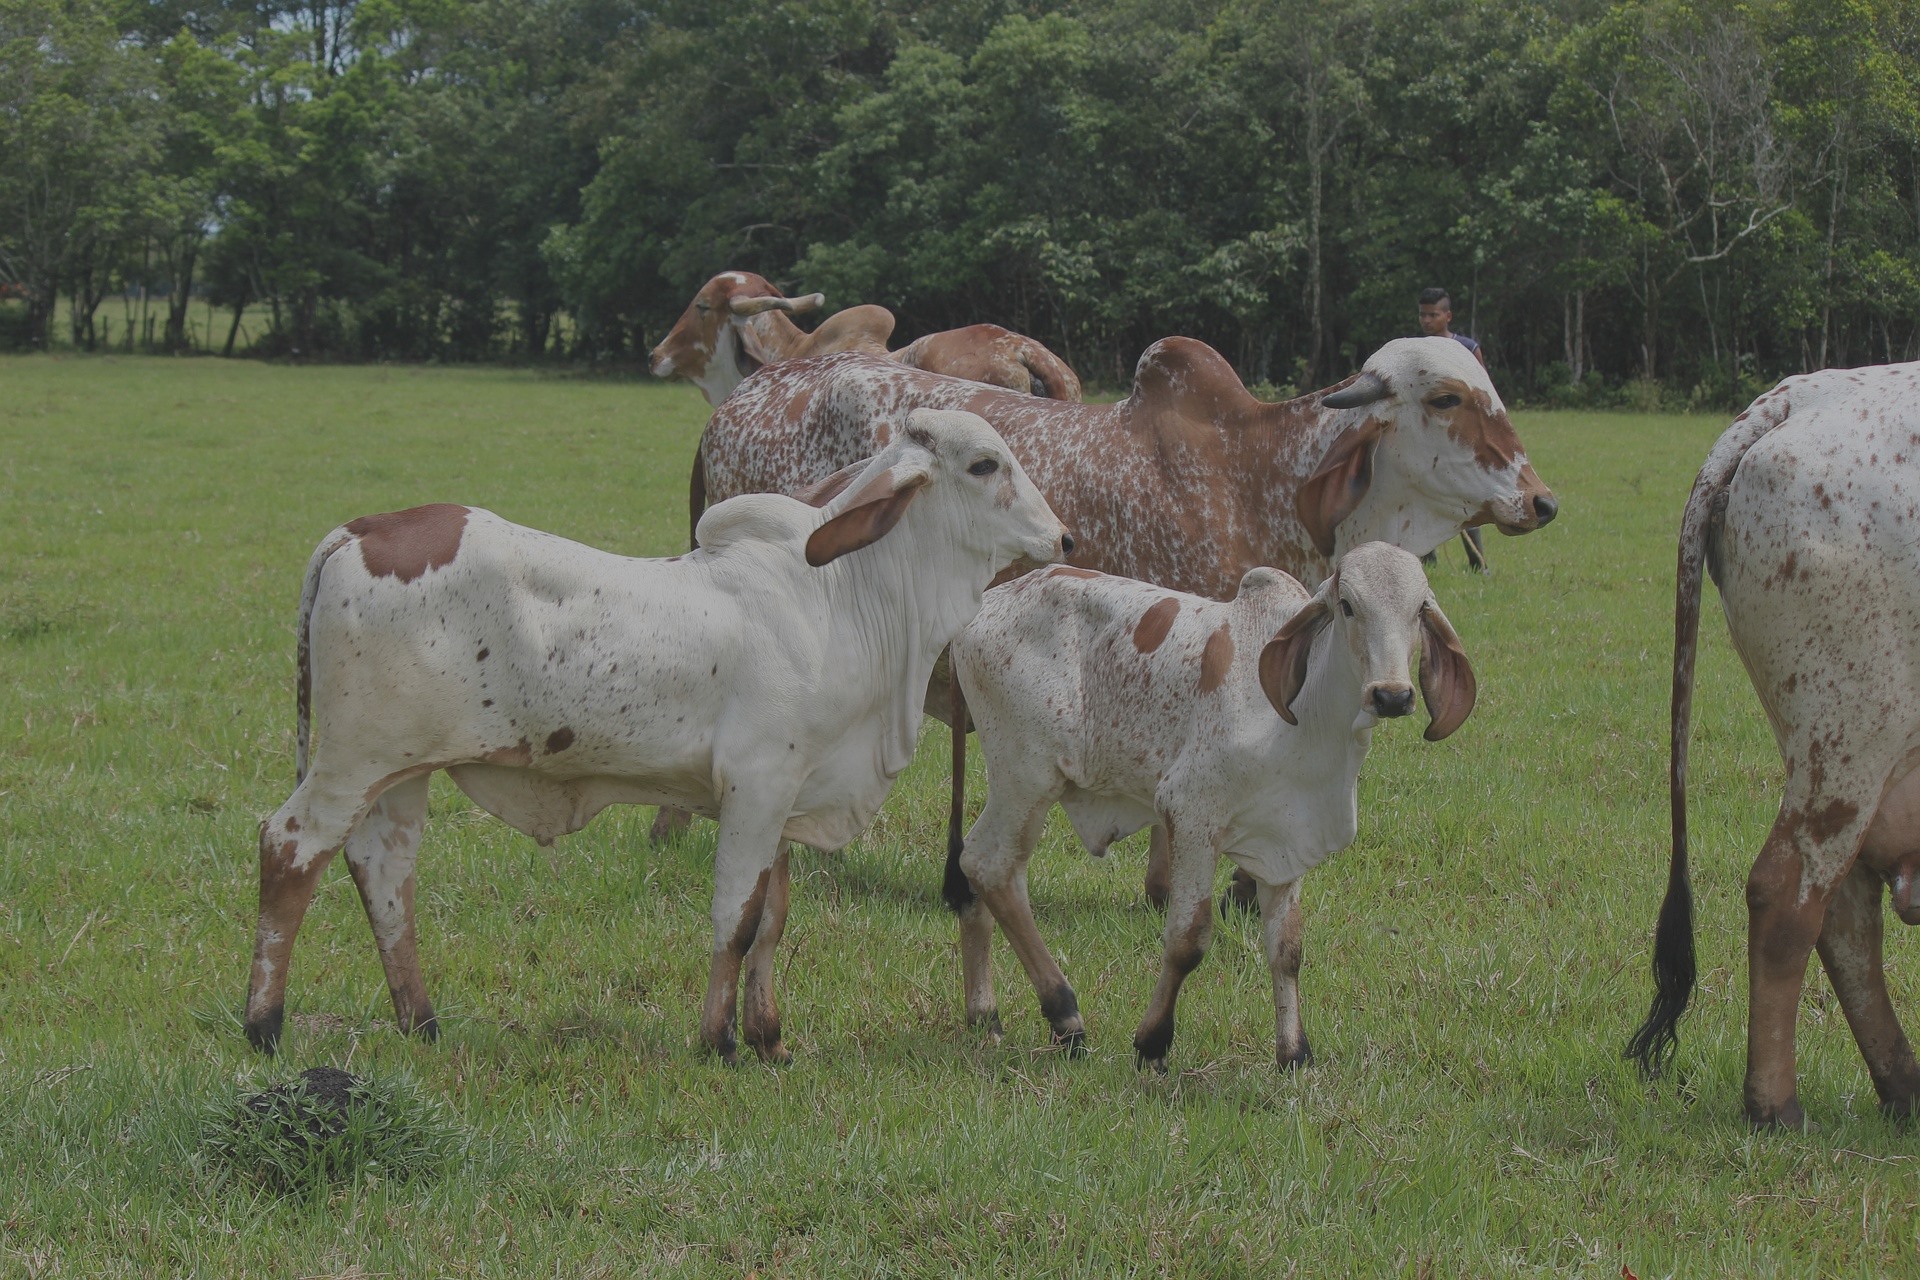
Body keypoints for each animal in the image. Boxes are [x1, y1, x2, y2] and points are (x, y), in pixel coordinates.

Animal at [241, 408, 1075, 1059]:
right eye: (985, 464)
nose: (1064, 538)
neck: (844, 598)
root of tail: (358, 530)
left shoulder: (785, 798)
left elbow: (772, 919)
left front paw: (769, 1037)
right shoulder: (757, 787)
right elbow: (736, 918)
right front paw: (720, 1039)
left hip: (401, 772)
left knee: (383, 873)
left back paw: (422, 1021)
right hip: (352, 761)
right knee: (289, 848)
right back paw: (265, 1023)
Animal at [952, 545, 1474, 1074]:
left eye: (1419, 609)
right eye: (1347, 605)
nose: (1391, 695)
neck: (1309, 717)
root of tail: (989, 602)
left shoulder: (1288, 837)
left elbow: (1287, 948)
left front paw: (1294, 1052)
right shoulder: (1191, 814)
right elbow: (1187, 940)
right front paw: (1153, 1042)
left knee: (987, 871)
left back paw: (984, 1013)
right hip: (1026, 777)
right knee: (990, 865)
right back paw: (1064, 1014)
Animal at [1628, 362, 1920, 1128]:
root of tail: (1797, 397)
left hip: (1833, 749)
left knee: (1842, 909)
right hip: (1852, 732)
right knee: (1789, 894)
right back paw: (1774, 1104)